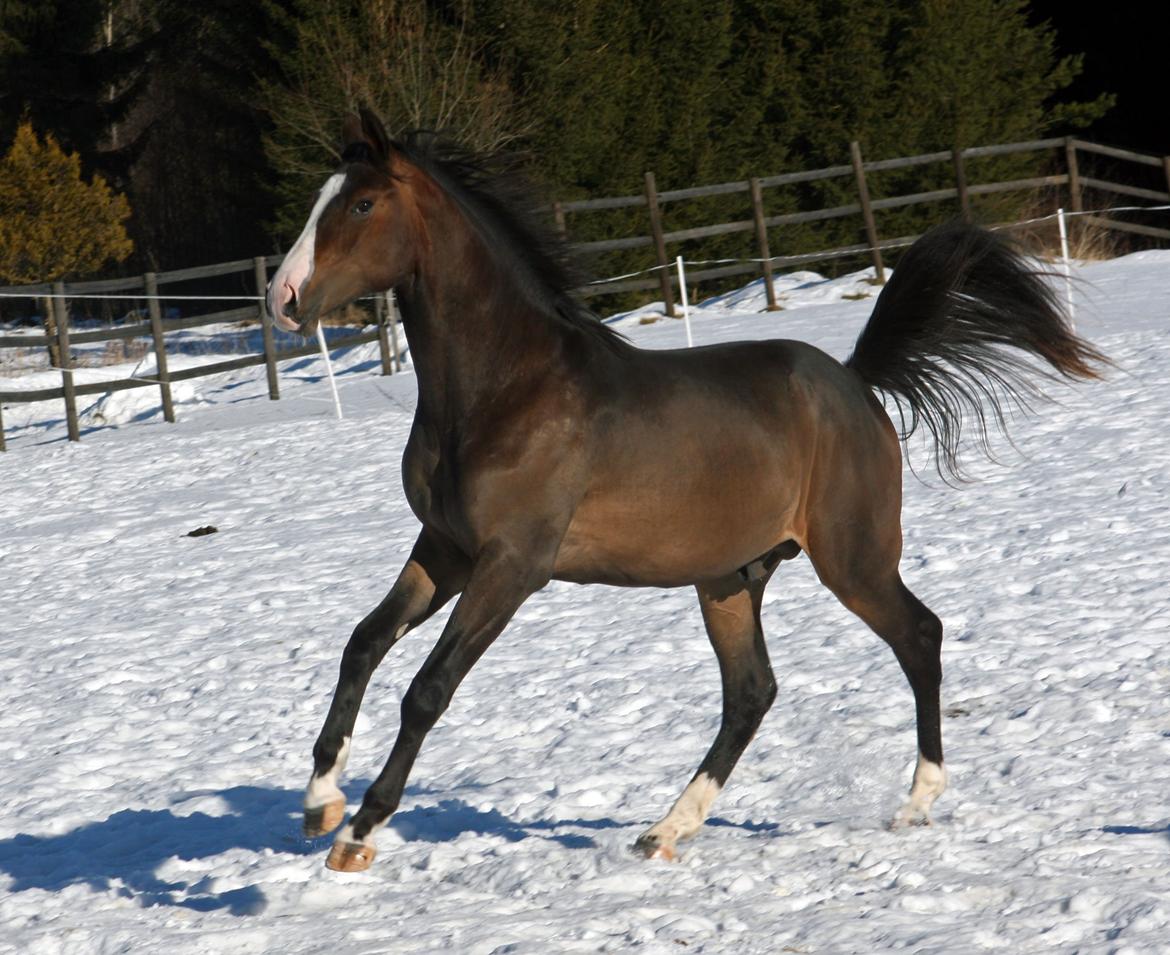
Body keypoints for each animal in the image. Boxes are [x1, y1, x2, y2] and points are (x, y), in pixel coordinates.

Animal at [269, 111, 1099, 870]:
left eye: (362, 204)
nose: (283, 298)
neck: (505, 387)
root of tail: (855, 381)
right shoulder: (445, 548)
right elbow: (362, 643)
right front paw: (319, 800)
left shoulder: (511, 564)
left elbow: (427, 688)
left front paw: (358, 831)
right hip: (729, 577)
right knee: (752, 691)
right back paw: (667, 828)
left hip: (852, 557)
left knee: (918, 635)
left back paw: (917, 800)